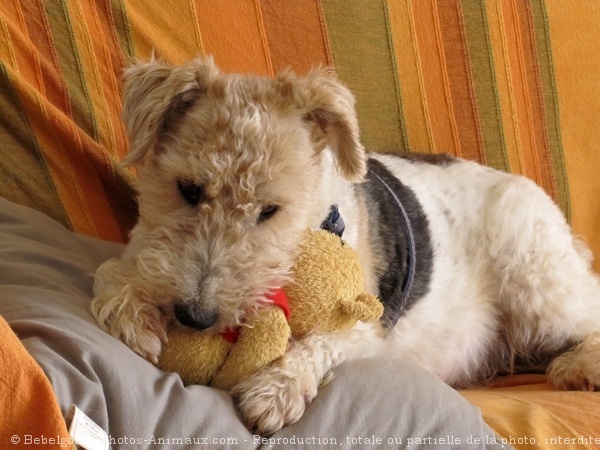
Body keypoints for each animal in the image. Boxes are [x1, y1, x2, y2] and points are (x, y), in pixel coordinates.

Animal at [89, 56, 600, 436]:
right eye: (189, 190)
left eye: (270, 210)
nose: (195, 316)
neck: (313, 225)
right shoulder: (140, 248)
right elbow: (110, 273)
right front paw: (132, 315)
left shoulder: (367, 326)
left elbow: (321, 342)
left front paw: (275, 391)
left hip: (536, 284)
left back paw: (578, 368)